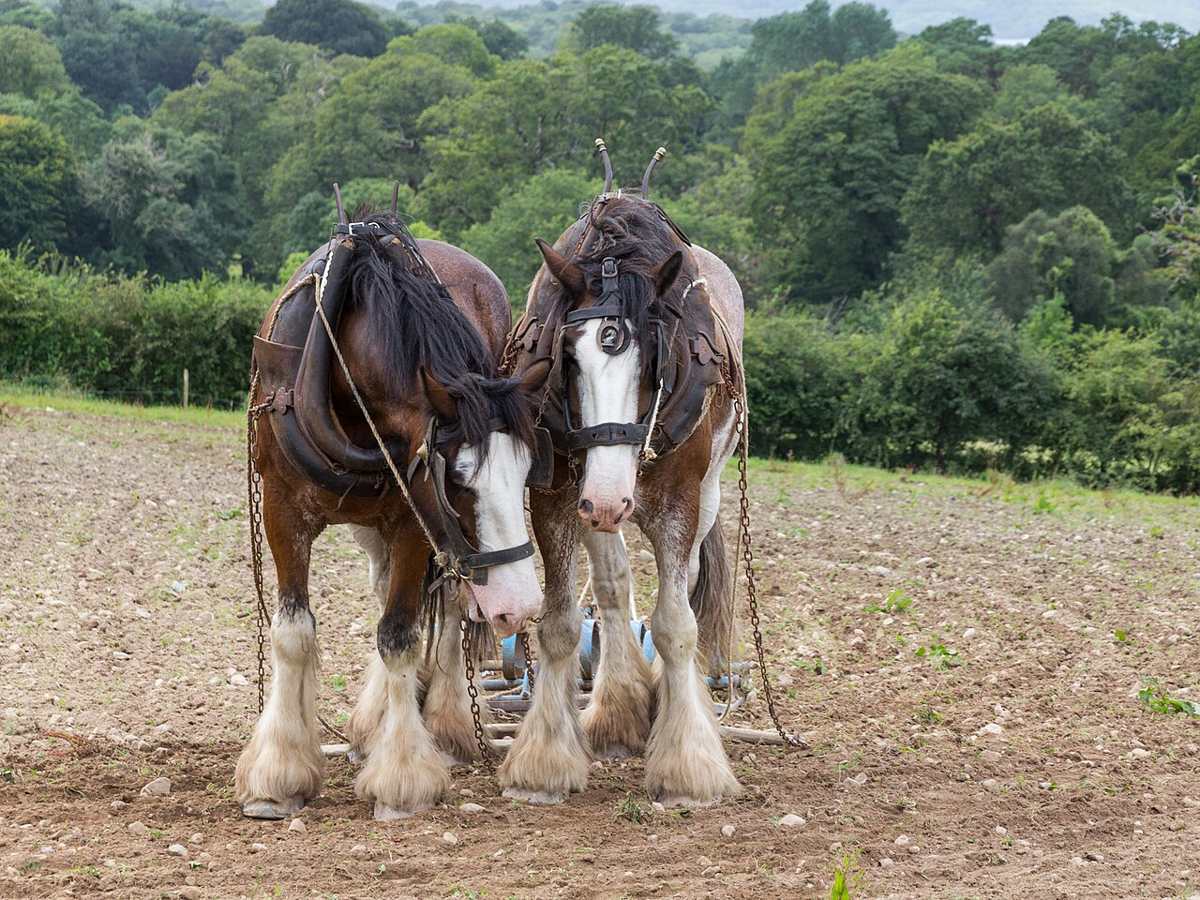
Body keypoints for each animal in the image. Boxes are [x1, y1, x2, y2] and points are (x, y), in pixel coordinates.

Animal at [235, 203, 551, 821]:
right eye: (458, 478)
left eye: (527, 470)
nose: (521, 607)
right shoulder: (284, 511)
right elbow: (293, 633)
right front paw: (277, 775)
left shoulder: (412, 523)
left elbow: (400, 634)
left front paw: (403, 777)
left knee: (447, 607)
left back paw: (446, 727)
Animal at [500, 149, 746, 806]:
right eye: (566, 357)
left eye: (653, 360)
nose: (611, 500)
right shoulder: (559, 497)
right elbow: (562, 623)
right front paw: (544, 760)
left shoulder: (678, 502)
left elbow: (675, 624)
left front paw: (688, 764)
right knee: (611, 588)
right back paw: (618, 710)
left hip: (702, 493)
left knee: (683, 588)